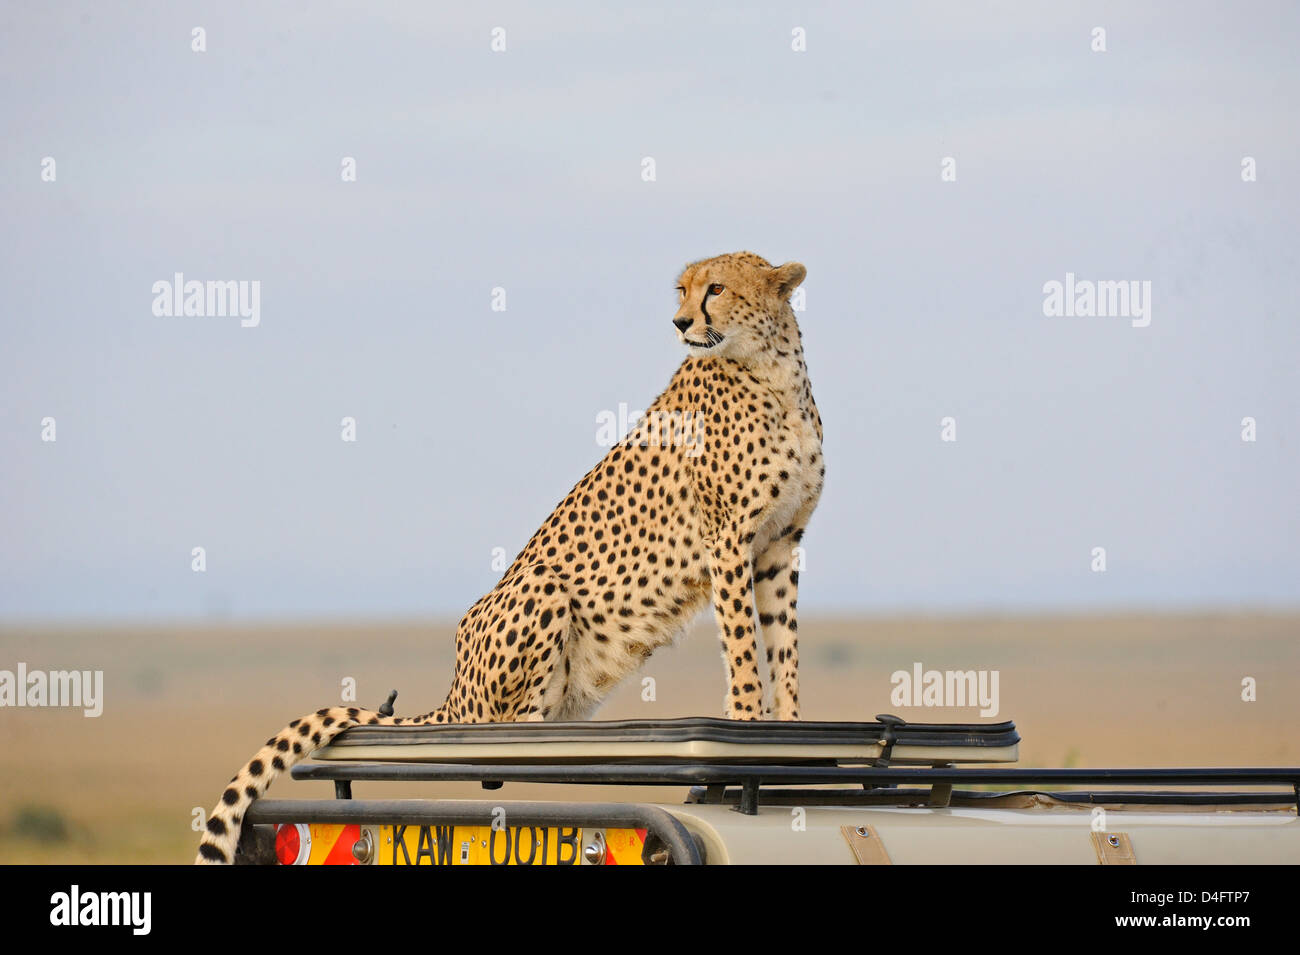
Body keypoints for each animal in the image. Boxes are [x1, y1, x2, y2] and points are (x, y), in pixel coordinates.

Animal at [195, 250, 821, 862]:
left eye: (715, 288)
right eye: (683, 291)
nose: (680, 322)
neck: (772, 371)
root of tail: (452, 695)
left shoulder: (779, 543)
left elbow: (783, 646)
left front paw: (789, 728)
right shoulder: (727, 539)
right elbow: (743, 648)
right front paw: (748, 721)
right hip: (541, 589)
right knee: (513, 732)